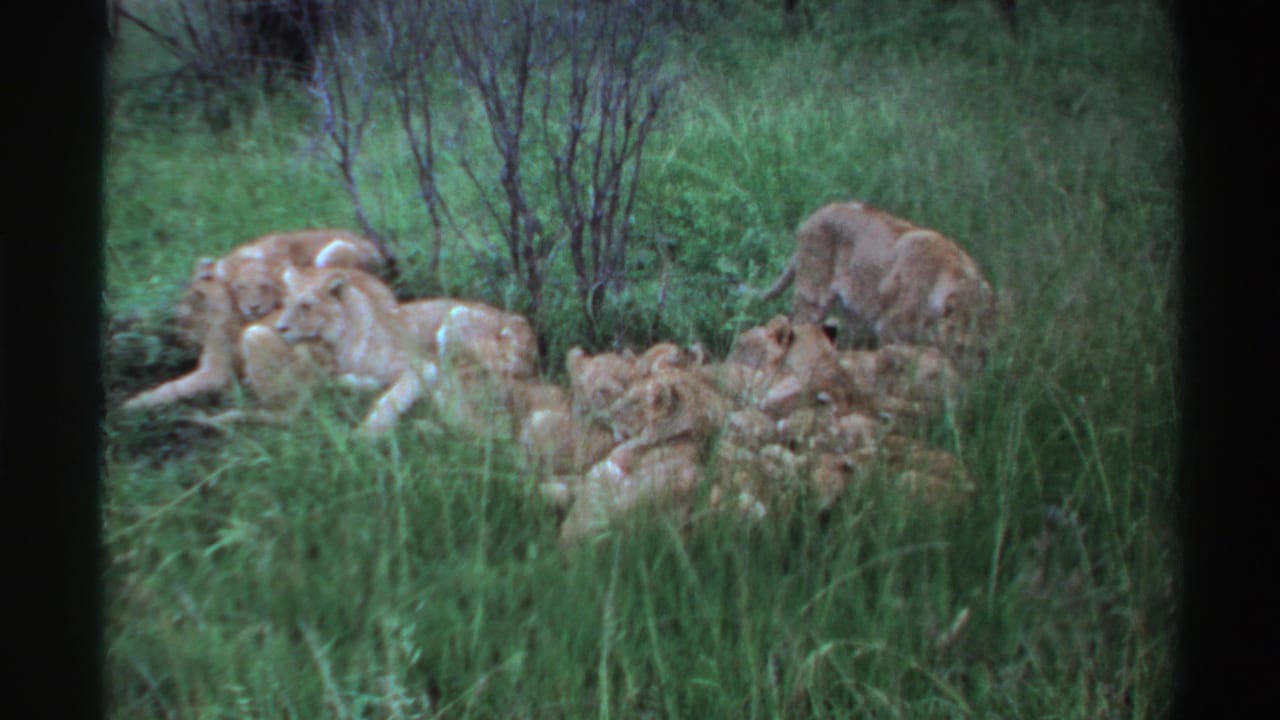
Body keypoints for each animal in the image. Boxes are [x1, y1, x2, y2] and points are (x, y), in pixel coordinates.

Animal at [762, 201, 997, 372]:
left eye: (984, 351)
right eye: (961, 346)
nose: (971, 375)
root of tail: (816, 214)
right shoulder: (890, 330)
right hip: (812, 298)